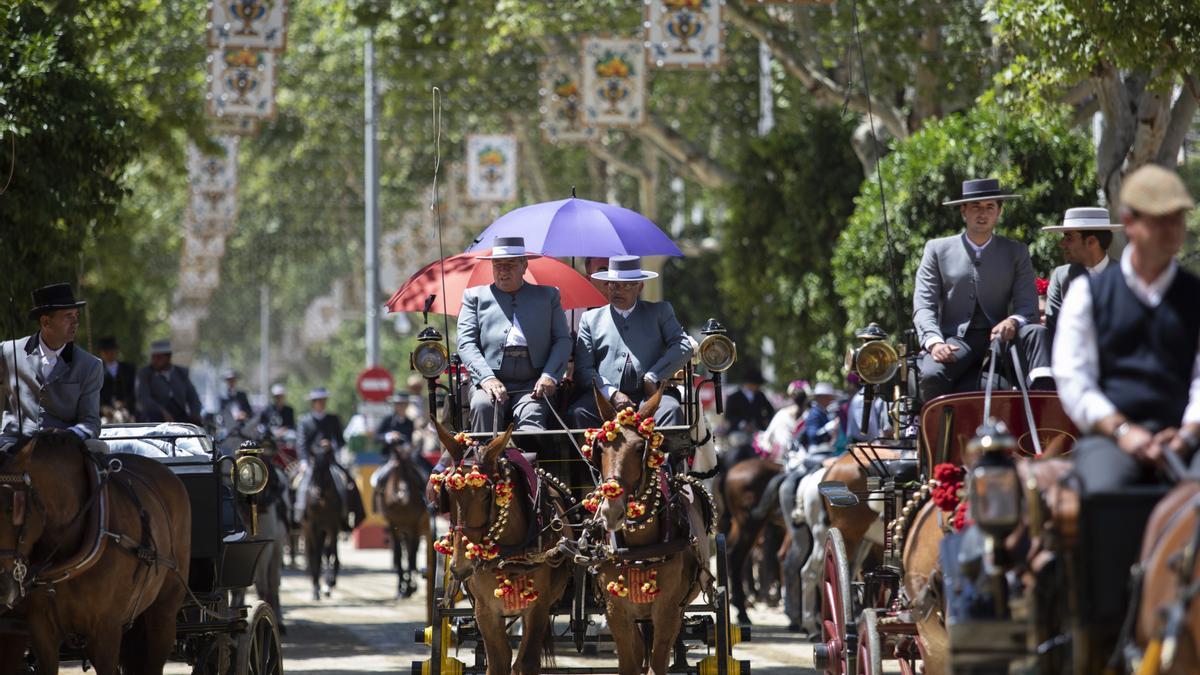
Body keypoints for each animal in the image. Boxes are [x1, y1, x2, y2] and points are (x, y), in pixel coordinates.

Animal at [379, 444, 432, 595]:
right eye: (397, 470)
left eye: (411, 470)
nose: (403, 495)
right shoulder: (393, 526)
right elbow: (398, 554)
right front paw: (401, 587)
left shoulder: (414, 526)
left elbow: (411, 556)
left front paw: (410, 586)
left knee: (411, 552)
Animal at [434, 420, 573, 667]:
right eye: (448, 492)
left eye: (486, 495)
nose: (461, 566)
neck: (507, 557)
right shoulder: (485, 612)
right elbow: (499, 661)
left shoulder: (538, 609)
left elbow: (525, 662)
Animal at [588, 386, 710, 672]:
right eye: (600, 448)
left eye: (639, 448)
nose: (611, 510)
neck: (639, 550)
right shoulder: (616, 612)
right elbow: (629, 662)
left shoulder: (667, 611)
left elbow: (658, 662)